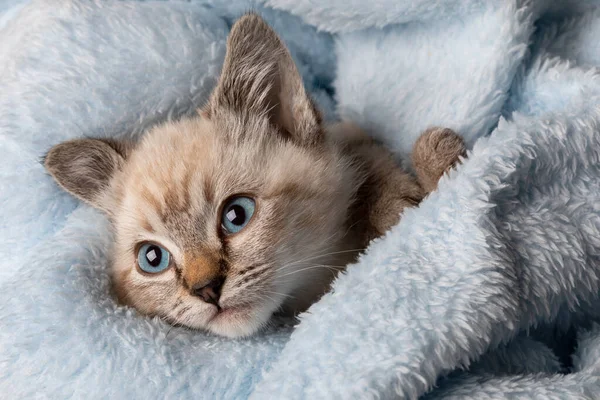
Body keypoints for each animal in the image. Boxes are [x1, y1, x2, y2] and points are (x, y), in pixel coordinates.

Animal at [44, 13, 466, 338]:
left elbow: (378, 160)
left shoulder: (352, 133)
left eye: (236, 215)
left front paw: (411, 191)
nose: (206, 290)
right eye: (152, 258)